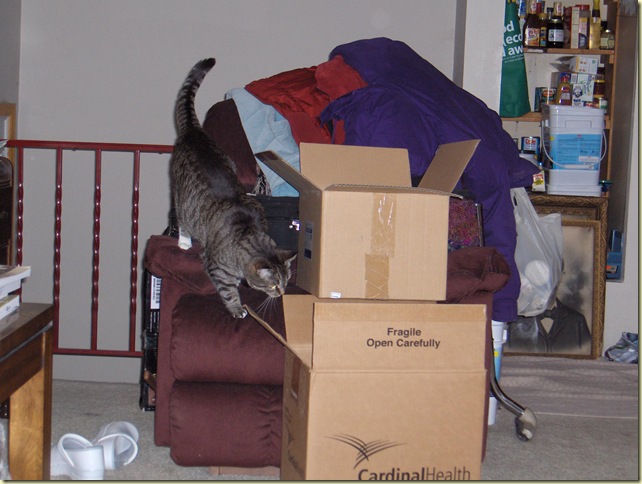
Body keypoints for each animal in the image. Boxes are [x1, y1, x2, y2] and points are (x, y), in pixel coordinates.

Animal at [170, 58, 296, 318]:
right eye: (273, 285)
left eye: (287, 280)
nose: (282, 293)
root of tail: (193, 131)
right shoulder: (216, 266)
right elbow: (227, 291)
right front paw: (237, 308)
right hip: (179, 194)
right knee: (180, 215)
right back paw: (184, 240)